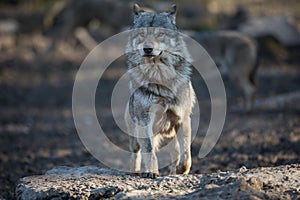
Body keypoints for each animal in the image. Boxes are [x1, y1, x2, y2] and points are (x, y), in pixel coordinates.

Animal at [123, 3, 195, 178]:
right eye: (142, 34)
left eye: (160, 34)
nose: (147, 49)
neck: (159, 77)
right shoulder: (145, 120)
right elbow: (149, 150)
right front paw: (152, 172)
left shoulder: (183, 119)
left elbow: (186, 154)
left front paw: (182, 170)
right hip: (135, 134)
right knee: (135, 153)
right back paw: (135, 172)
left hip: (171, 134)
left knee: (175, 152)